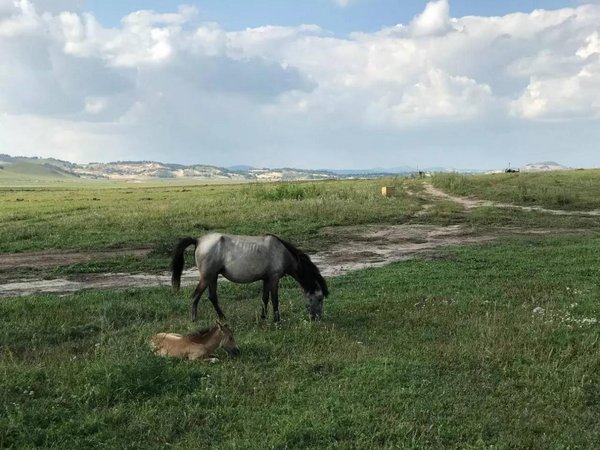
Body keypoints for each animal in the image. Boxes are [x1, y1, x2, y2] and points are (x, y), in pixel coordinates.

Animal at [171, 234, 330, 322]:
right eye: (320, 298)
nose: (317, 318)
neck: (282, 253)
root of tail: (198, 240)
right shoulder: (274, 279)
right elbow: (275, 300)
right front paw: (277, 320)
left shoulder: (266, 279)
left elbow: (265, 299)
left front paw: (263, 317)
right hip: (206, 277)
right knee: (196, 296)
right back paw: (194, 319)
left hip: (213, 277)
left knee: (212, 297)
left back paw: (223, 318)